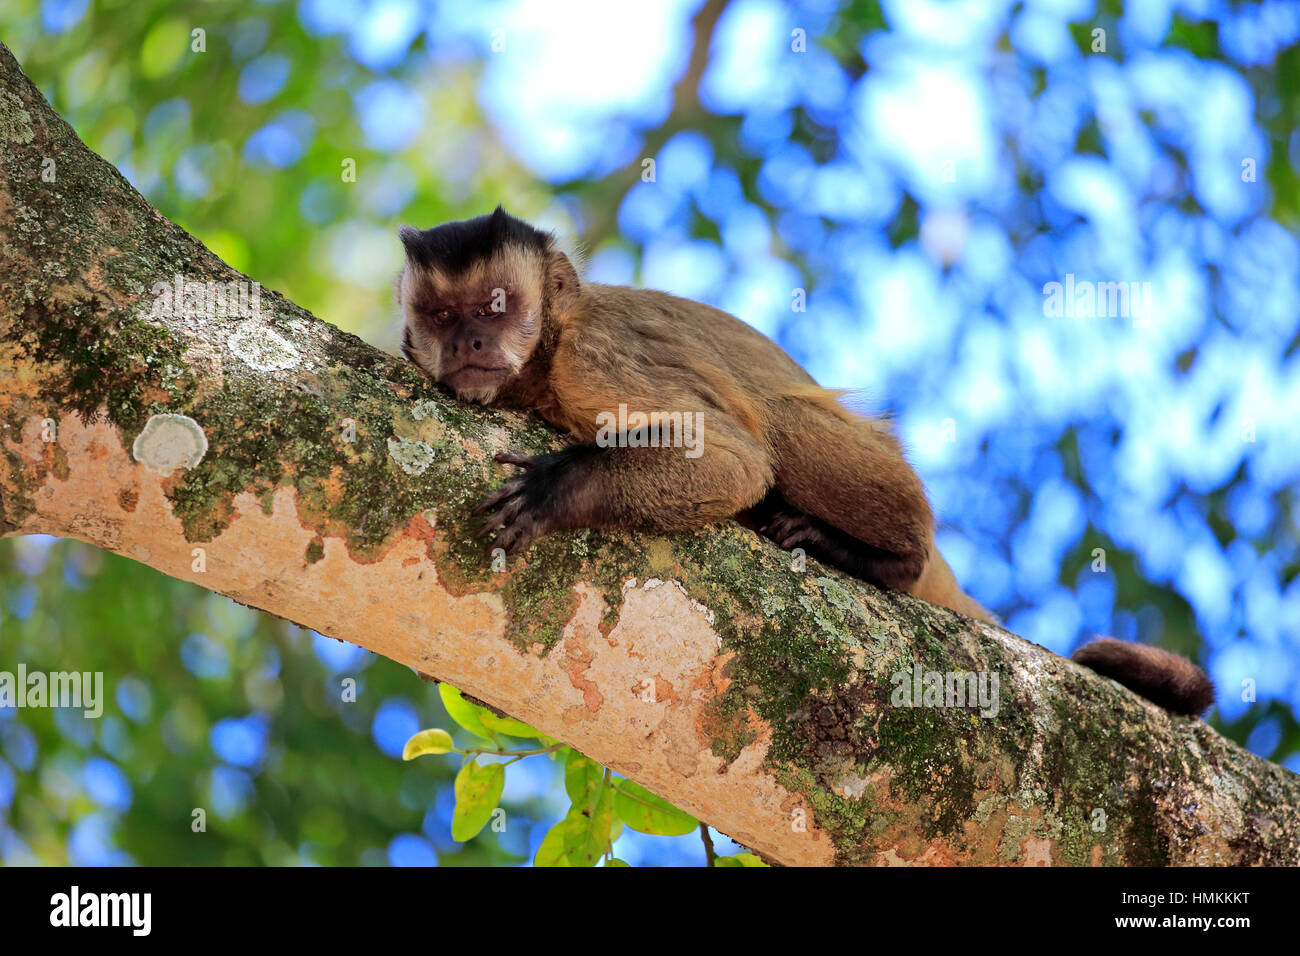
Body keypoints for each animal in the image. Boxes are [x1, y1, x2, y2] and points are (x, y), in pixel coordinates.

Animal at [395, 209, 1216, 717]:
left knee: (782, 422)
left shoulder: (593, 362)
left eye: (496, 307)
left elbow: (733, 458)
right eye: (441, 316)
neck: (543, 364)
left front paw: (560, 487)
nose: (469, 342)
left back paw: (882, 559)